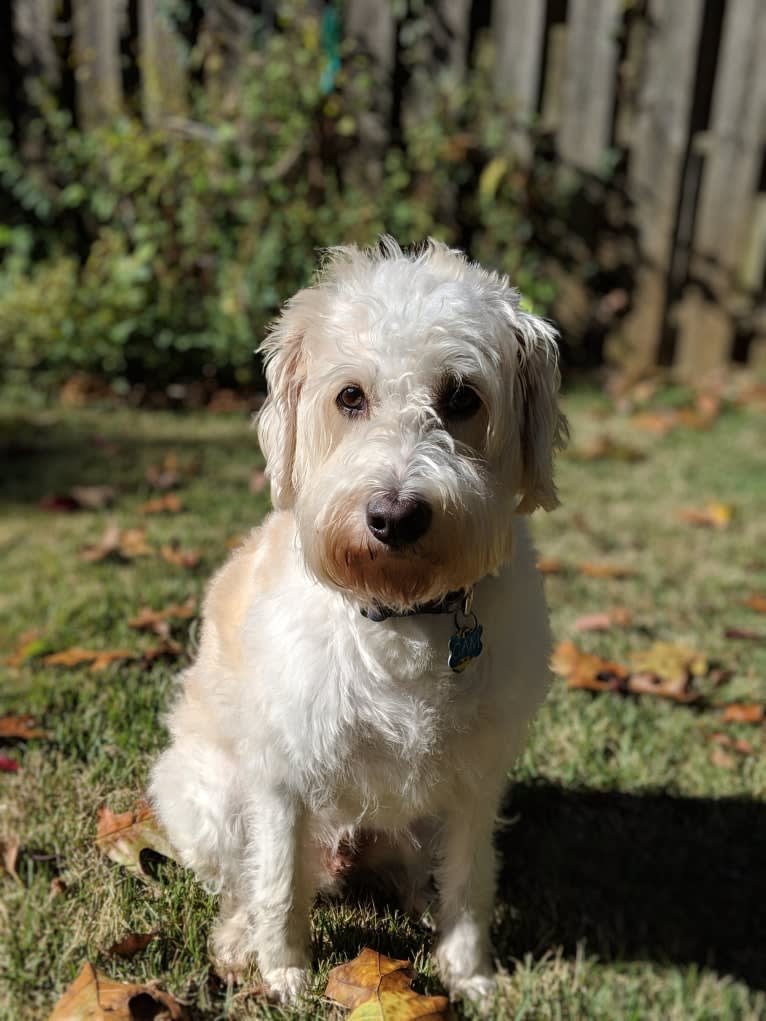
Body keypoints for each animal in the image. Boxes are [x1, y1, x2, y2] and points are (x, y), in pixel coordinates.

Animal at [151, 238, 571, 1004]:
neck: (402, 615)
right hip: (206, 796)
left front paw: (468, 974)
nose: (394, 516)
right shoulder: (282, 777)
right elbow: (278, 884)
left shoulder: (476, 781)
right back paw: (238, 939)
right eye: (351, 396)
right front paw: (284, 972)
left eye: (462, 397)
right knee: (243, 880)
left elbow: (470, 883)